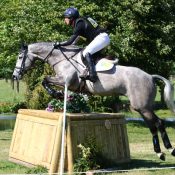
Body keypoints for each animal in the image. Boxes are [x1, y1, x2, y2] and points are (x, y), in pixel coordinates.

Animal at [11, 42, 174, 160]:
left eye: (19, 57)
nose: (15, 75)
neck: (61, 59)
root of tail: (150, 76)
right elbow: (45, 81)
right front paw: (58, 94)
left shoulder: (65, 81)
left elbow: (45, 80)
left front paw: (56, 94)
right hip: (140, 107)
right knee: (152, 125)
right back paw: (159, 152)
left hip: (143, 107)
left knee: (159, 123)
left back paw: (170, 149)